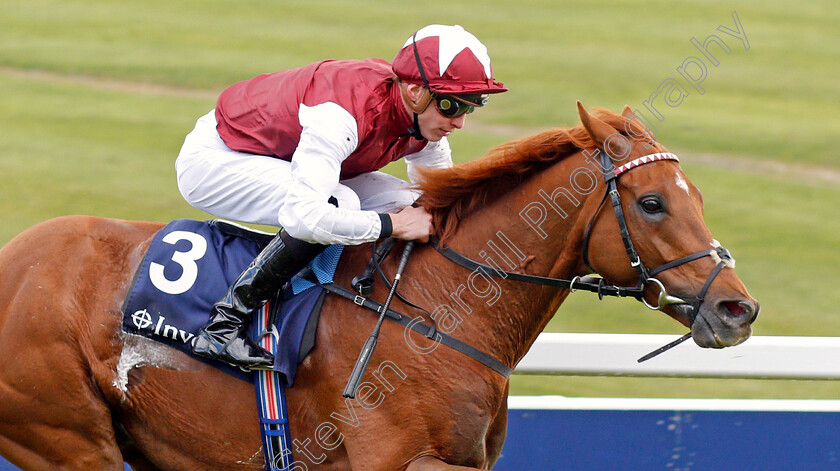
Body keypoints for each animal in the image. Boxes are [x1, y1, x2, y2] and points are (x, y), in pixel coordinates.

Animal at [0, 104, 756, 471]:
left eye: (696, 194)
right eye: (652, 203)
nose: (737, 307)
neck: (444, 312)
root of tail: (14, 260)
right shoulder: (396, 459)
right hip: (66, 436)